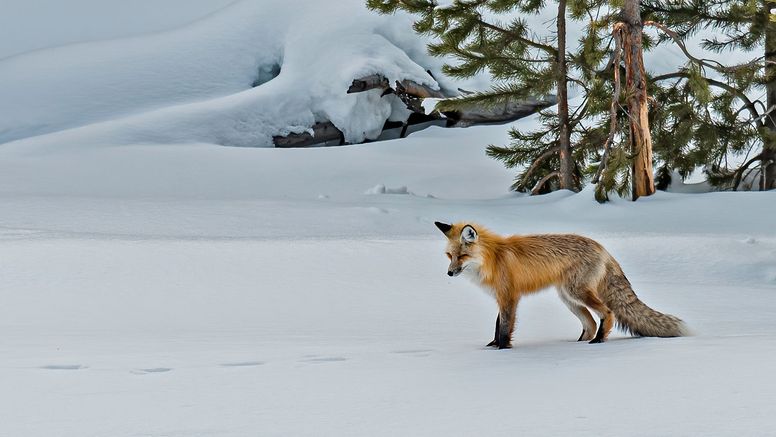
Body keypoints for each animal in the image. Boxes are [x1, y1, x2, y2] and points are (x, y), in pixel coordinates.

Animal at [434, 221, 688, 348]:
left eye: (462, 256)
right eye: (449, 256)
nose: (449, 273)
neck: (493, 259)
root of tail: (602, 247)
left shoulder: (509, 297)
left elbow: (505, 327)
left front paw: (503, 350)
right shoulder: (502, 297)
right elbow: (497, 325)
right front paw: (493, 346)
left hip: (577, 293)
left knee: (607, 313)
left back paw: (599, 342)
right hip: (568, 298)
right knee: (590, 323)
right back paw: (579, 344)